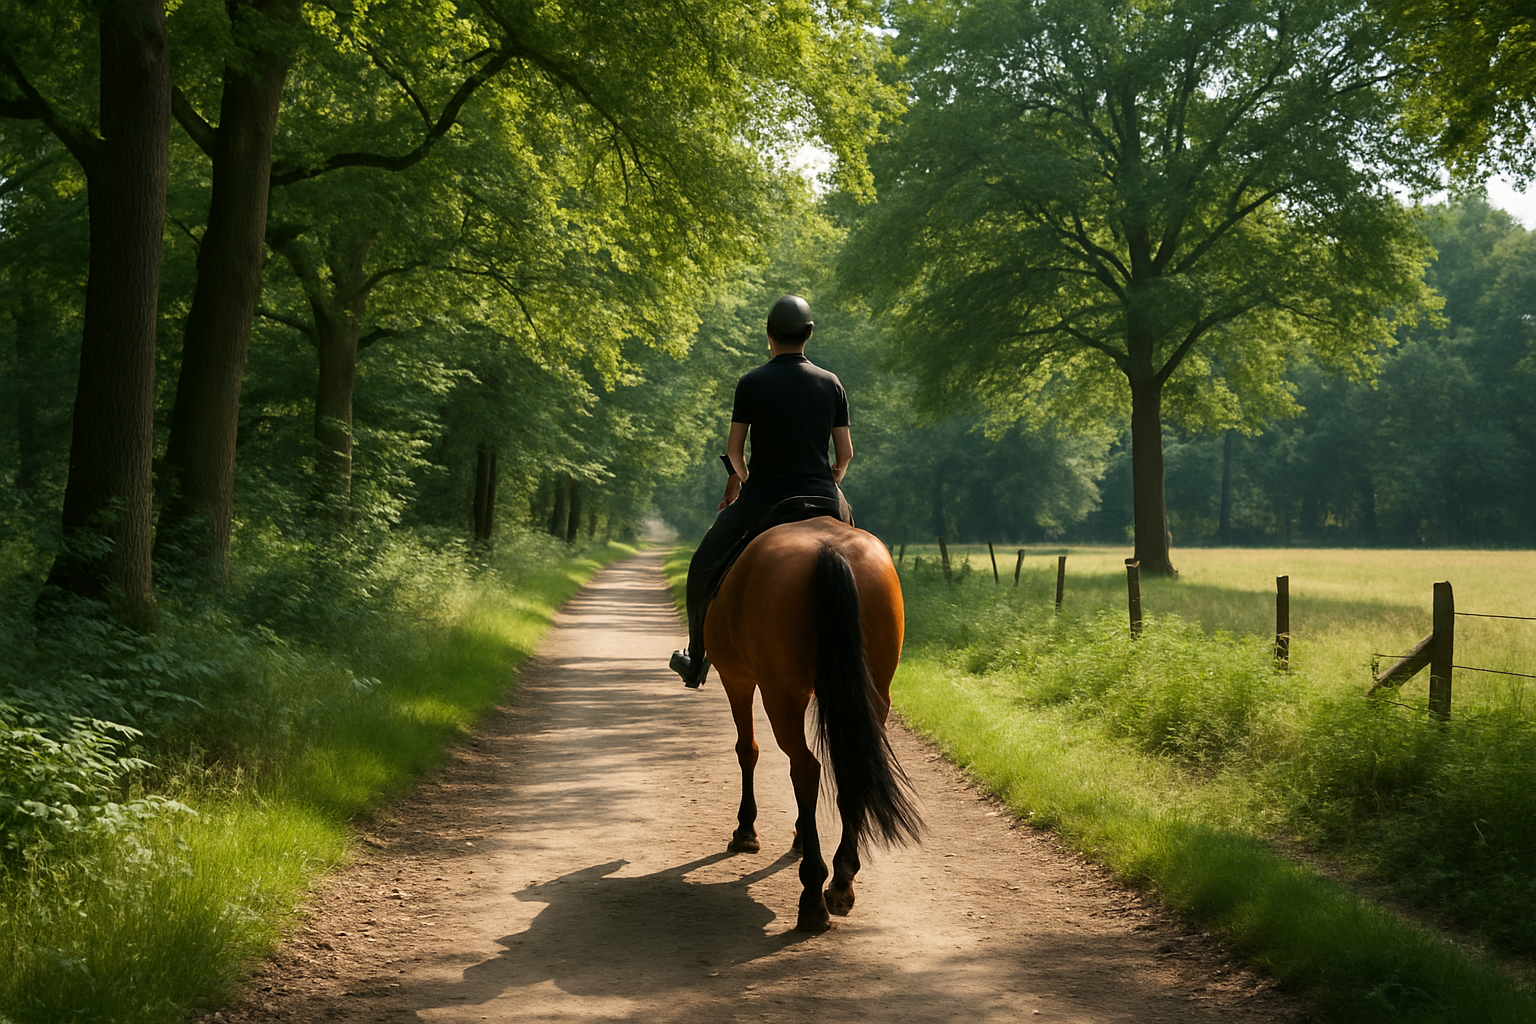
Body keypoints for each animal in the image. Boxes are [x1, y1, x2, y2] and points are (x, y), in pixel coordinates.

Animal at [702, 515, 922, 933]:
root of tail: (829, 551)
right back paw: (840, 883)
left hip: (779, 694)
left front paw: (746, 831)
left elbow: (747, 750)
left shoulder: (736, 679)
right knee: (848, 771)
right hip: (872, 693)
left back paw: (812, 898)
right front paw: (800, 834)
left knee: (805, 768)